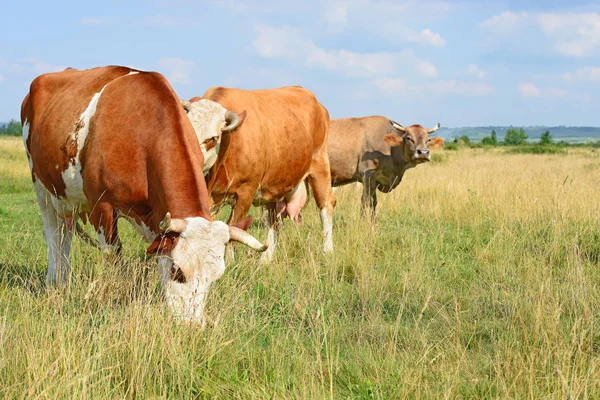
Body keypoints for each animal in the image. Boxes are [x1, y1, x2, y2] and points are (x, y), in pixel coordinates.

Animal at [21, 65, 264, 326]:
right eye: (178, 271)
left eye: (215, 277)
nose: (192, 325)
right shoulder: (101, 204)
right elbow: (112, 254)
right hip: (42, 188)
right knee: (53, 233)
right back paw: (53, 281)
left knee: (65, 233)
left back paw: (64, 280)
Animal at [185, 86, 336, 262]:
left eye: (213, 138)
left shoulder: (246, 193)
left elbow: (233, 230)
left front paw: (229, 262)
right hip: (273, 187)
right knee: (273, 222)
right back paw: (266, 259)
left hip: (319, 168)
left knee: (326, 206)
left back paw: (327, 250)